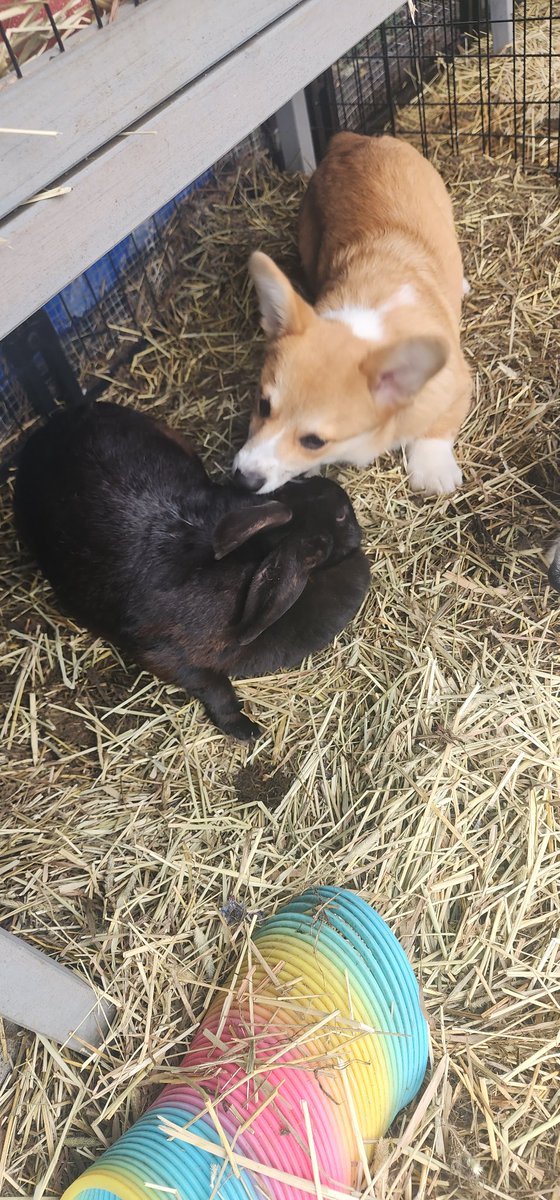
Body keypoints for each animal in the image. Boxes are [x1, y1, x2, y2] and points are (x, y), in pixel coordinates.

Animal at [13, 405, 369, 739]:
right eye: (341, 516)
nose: (338, 493)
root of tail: (50, 427)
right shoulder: (166, 657)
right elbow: (215, 688)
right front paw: (245, 730)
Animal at [233, 135, 472, 496]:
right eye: (263, 405)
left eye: (314, 441)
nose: (243, 480)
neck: (367, 319)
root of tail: (357, 139)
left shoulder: (458, 385)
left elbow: (438, 426)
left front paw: (433, 469)